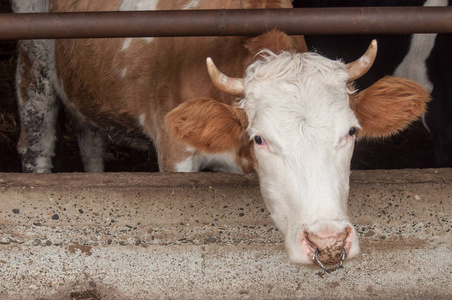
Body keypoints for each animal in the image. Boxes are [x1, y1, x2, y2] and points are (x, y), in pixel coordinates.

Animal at [12, 0, 430, 270]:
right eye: (259, 138)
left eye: (351, 131)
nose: (326, 243)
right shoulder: (175, 154)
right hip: (35, 71)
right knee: (36, 144)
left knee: (90, 138)